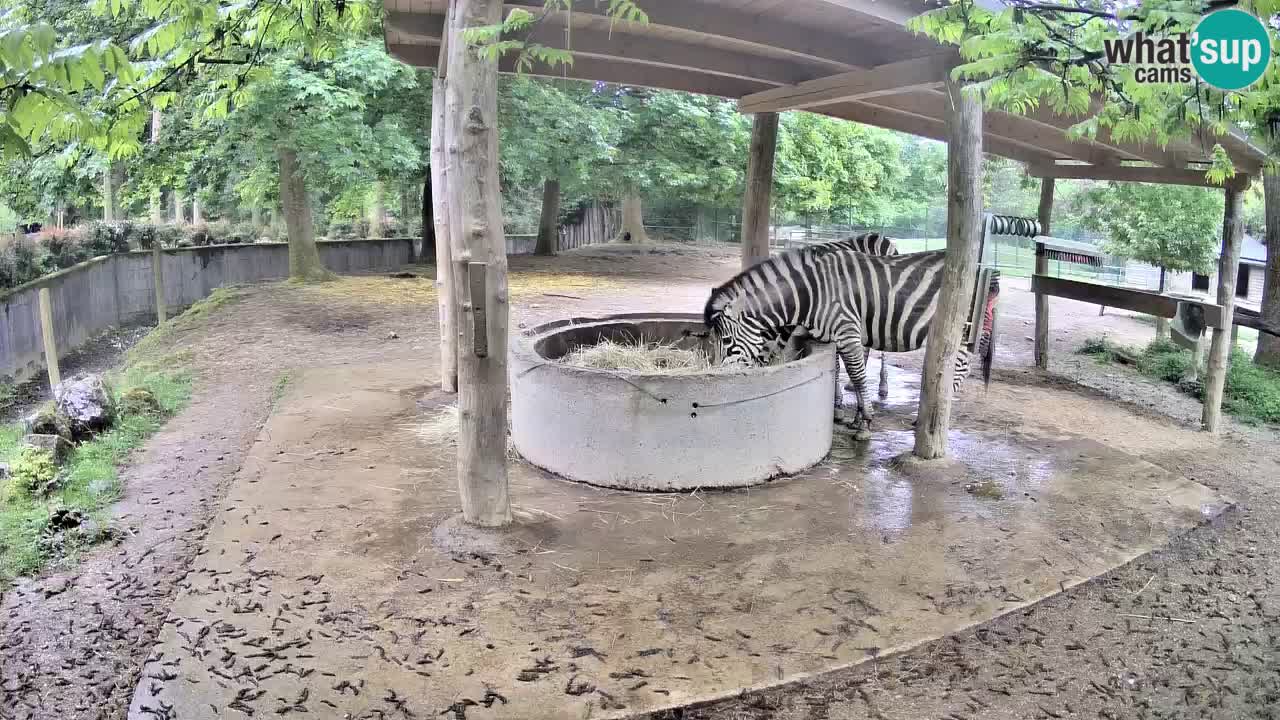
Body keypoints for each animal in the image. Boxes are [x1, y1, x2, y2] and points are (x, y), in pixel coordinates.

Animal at [704, 242, 999, 438]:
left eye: (727, 340)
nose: (719, 377)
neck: (811, 294)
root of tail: (984, 270)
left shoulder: (846, 330)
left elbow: (856, 375)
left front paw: (865, 422)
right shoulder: (842, 336)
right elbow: (849, 373)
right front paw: (857, 418)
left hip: (962, 331)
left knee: (960, 369)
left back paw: (932, 420)